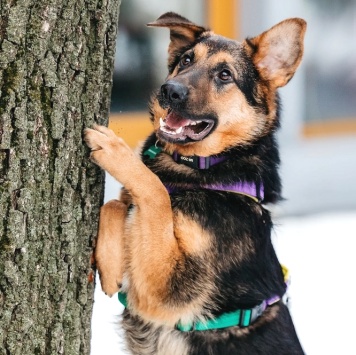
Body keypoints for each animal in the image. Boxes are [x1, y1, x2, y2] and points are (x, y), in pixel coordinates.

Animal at [85, 11, 306, 355]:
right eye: (186, 60)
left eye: (225, 75)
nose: (169, 91)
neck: (210, 171)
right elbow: (118, 203)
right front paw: (109, 266)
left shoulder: (167, 289)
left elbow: (154, 193)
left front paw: (116, 150)